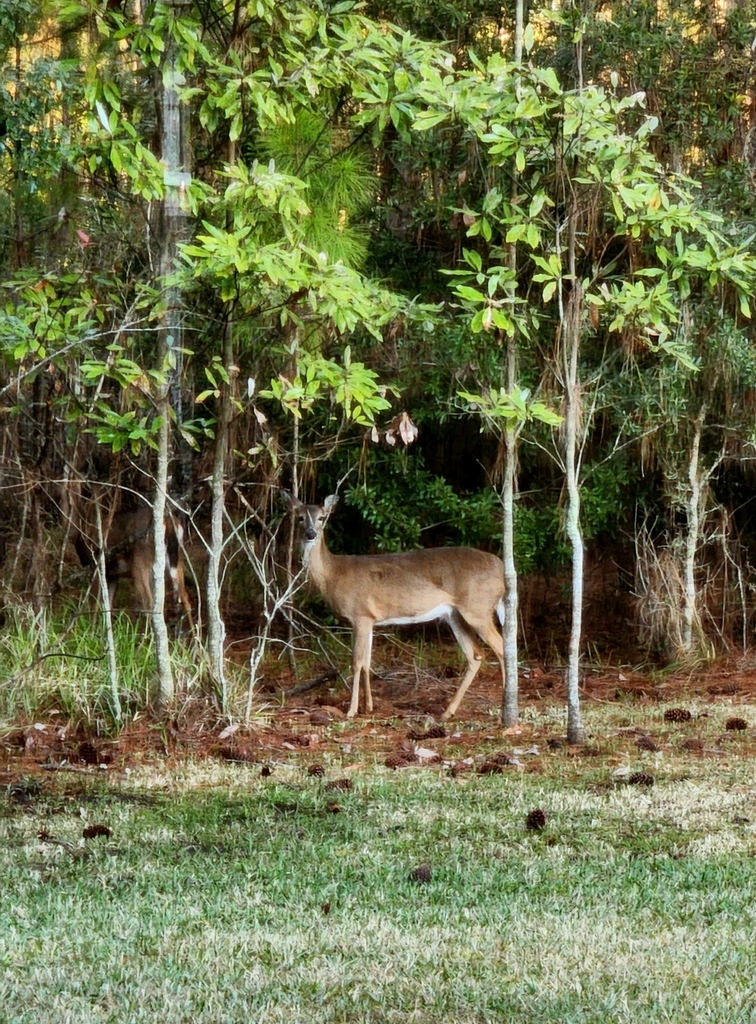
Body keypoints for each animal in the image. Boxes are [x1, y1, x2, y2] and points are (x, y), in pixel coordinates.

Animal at [286, 493, 506, 720]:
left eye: (321, 518)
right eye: (300, 517)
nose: (310, 534)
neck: (333, 574)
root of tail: (501, 567)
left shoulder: (360, 615)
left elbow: (356, 662)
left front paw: (351, 710)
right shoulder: (370, 619)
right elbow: (367, 662)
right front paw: (368, 706)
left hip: (477, 608)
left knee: (501, 646)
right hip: (455, 614)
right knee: (475, 655)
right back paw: (448, 711)